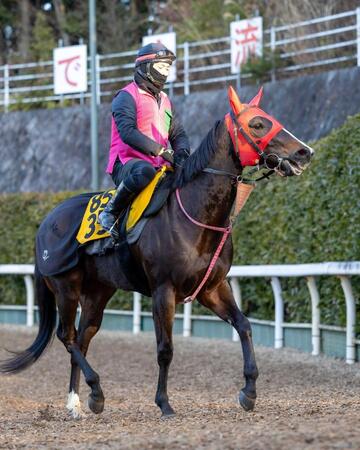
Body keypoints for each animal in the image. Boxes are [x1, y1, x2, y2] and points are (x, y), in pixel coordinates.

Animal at [0, 87, 312, 418]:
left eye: (270, 118)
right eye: (257, 125)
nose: (305, 152)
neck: (194, 213)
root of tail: (46, 222)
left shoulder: (213, 288)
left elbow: (244, 326)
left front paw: (249, 390)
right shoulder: (164, 291)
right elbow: (165, 349)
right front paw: (164, 402)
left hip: (98, 291)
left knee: (83, 338)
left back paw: (79, 401)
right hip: (65, 286)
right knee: (67, 336)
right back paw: (95, 389)